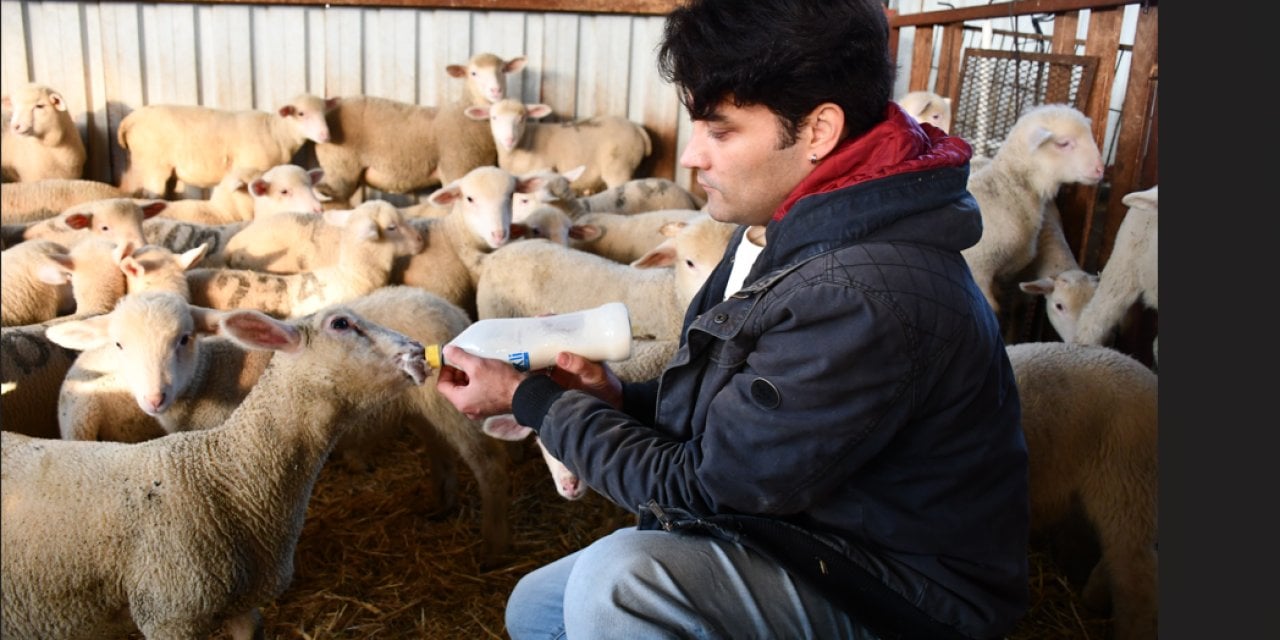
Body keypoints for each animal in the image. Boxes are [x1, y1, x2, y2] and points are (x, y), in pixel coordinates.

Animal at [117, 93, 337, 197]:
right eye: (301, 113)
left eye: (325, 112)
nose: (326, 135)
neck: (275, 132)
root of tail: (129, 120)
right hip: (153, 165)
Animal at [468, 98, 655, 193]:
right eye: (494, 118)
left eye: (522, 118)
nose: (509, 139)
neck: (526, 141)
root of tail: (637, 128)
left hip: (620, 166)